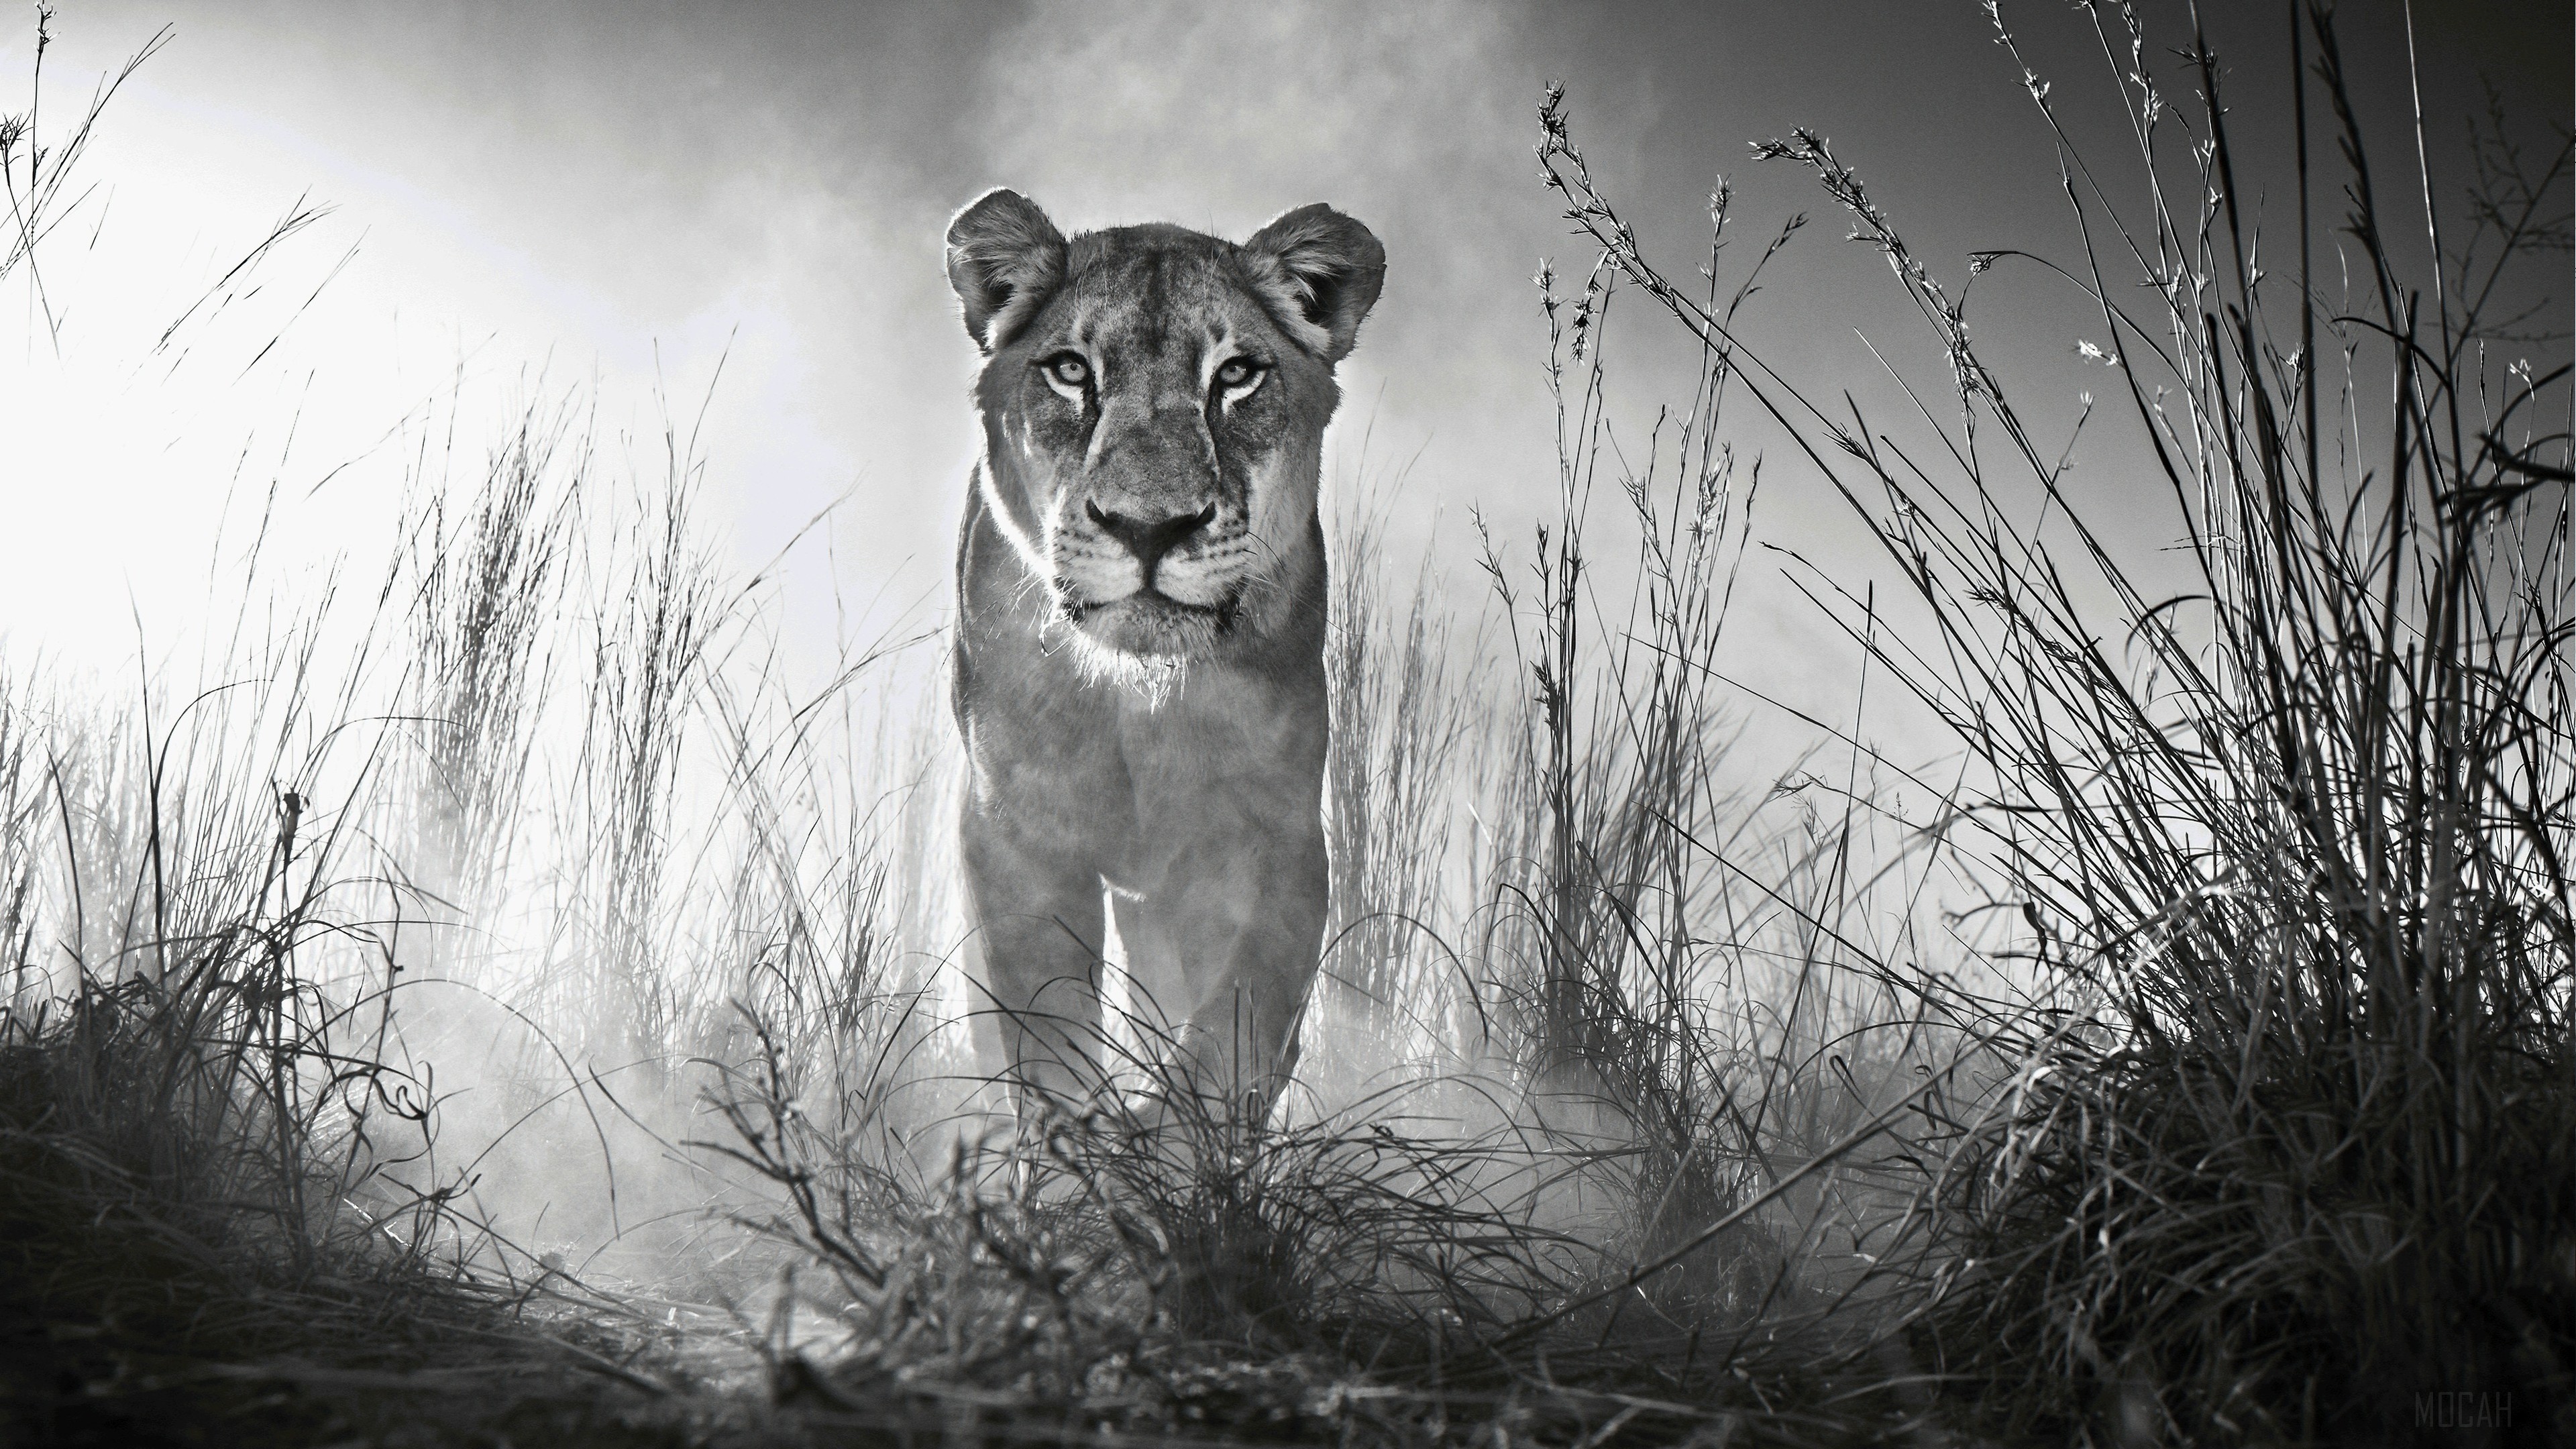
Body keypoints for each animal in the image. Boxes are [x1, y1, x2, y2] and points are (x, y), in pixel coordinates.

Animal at [942, 188, 1384, 1124]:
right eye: (1071, 371)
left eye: (1237, 374)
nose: (1149, 528)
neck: (1137, 701)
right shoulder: (1014, 832)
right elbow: (1046, 1027)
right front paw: (1077, 1146)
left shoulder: (1274, 837)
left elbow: (1236, 1025)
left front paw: (1170, 1139)